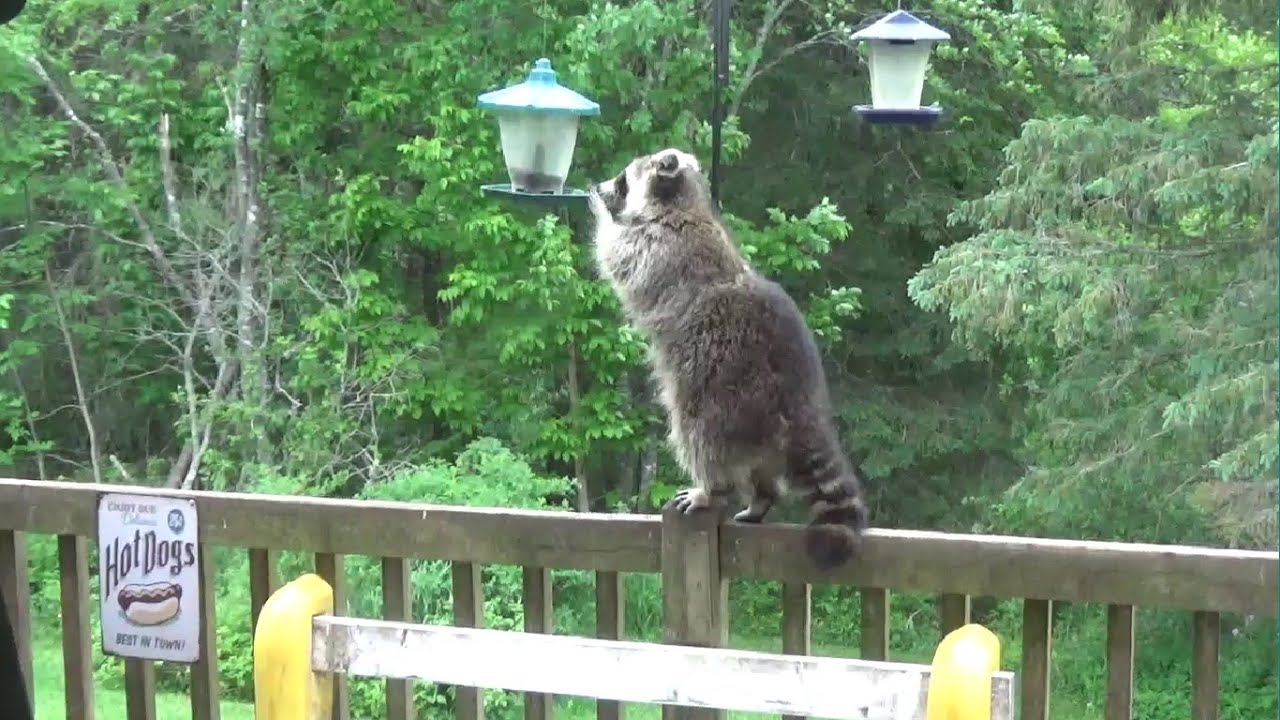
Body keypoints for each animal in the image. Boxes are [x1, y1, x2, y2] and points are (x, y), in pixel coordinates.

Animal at [587, 148, 870, 571]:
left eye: (622, 179)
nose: (604, 187)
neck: (682, 203)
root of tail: (798, 393)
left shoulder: (658, 248)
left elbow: (617, 253)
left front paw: (599, 212)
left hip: (722, 390)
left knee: (699, 436)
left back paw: (712, 488)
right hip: (760, 419)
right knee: (760, 464)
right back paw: (762, 497)